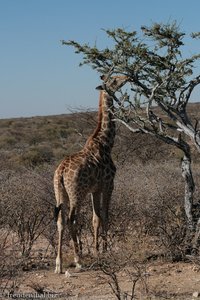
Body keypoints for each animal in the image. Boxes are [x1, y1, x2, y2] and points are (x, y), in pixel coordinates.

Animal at [53, 74, 128, 274]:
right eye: (114, 80)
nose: (126, 77)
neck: (106, 143)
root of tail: (60, 171)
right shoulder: (109, 184)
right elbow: (105, 215)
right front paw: (106, 249)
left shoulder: (95, 189)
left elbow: (95, 218)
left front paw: (96, 250)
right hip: (76, 193)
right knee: (71, 220)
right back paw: (78, 260)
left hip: (59, 192)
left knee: (60, 221)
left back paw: (58, 264)